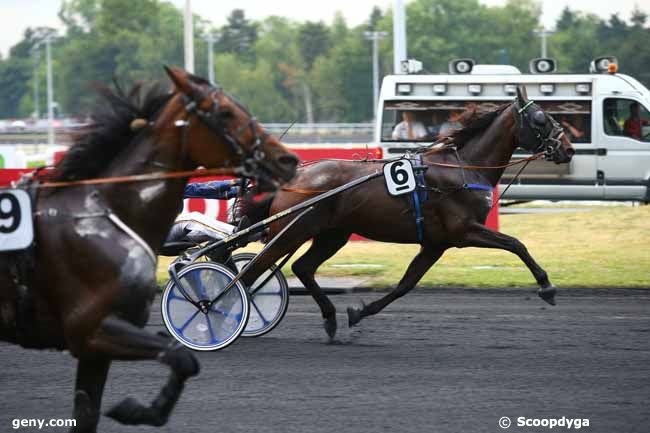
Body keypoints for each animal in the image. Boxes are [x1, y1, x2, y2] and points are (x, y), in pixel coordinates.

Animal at [242, 86, 572, 338]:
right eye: (541, 119)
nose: (568, 148)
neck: (464, 167)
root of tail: (294, 178)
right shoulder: (464, 231)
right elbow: (516, 244)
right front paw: (547, 286)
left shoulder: (436, 243)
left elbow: (405, 285)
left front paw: (359, 312)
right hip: (292, 232)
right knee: (252, 272)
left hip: (333, 234)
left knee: (303, 267)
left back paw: (330, 317)